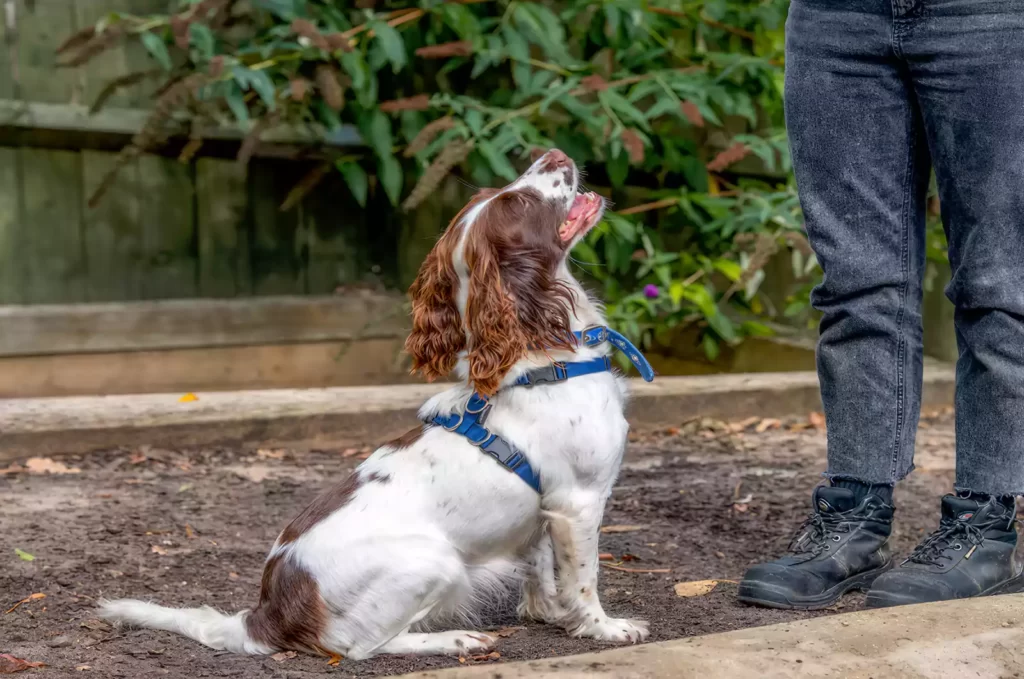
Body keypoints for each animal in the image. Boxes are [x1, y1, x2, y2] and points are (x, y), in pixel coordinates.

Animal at [97, 147, 647, 659]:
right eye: (519, 201)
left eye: (501, 191)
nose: (551, 154)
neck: (542, 357)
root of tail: (264, 614)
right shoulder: (579, 503)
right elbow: (584, 579)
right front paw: (604, 628)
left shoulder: (544, 513)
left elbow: (542, 573)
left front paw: (550, 614)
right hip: (433, 561)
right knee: (360, 646)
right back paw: (455, 640)